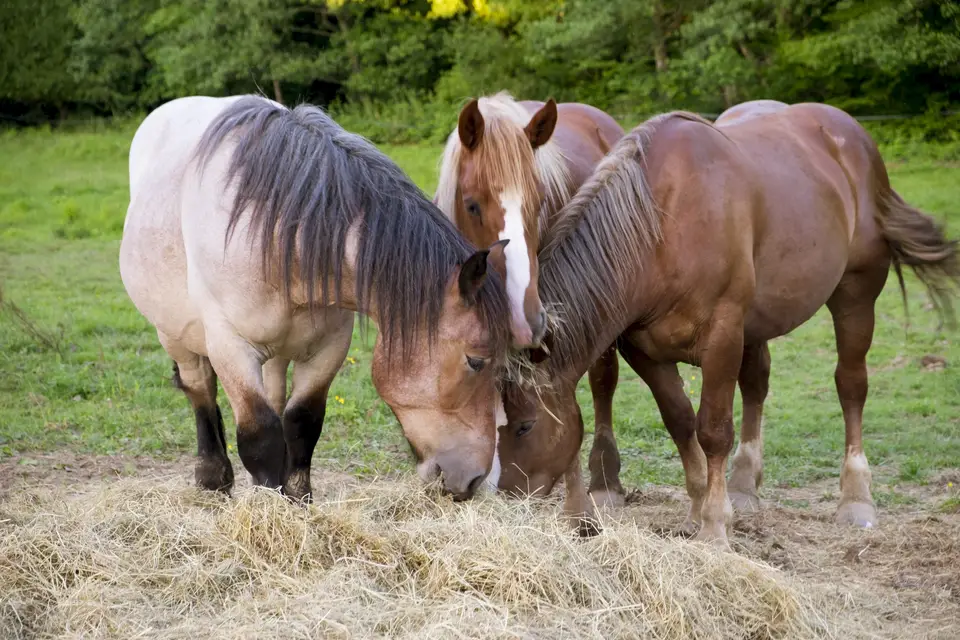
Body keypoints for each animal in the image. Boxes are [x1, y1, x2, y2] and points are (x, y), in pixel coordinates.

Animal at [119, 95, 513, 502]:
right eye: (476, 361)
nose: (474, 479)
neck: (277, 238)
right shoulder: (231, 347)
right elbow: (260, 437)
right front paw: (267, 508)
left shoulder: (328, 348)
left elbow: (302, 424)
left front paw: (296, 499)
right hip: (175, 335)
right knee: (200, 391)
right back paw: (213, 477)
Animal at [496, 100, 959, 547]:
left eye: (524, 425)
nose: (507, 494)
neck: (660, 227)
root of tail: (854, 136)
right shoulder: (644, 350)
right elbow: (680, 421)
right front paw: (698, 507)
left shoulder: (722, 338)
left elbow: (714, 430)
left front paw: (715, 525)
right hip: (759, 325)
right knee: (756, 385)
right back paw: (744, 485)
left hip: (856, 296)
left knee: (851, 386)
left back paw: (856, 498)